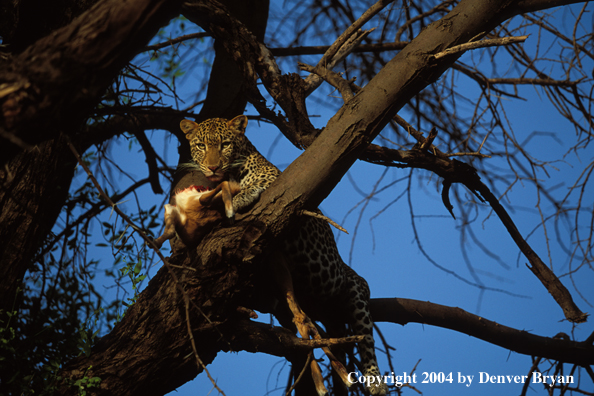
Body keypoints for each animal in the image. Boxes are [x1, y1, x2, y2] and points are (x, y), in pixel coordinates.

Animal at [180, 115, 388, 396]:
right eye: (201, 145)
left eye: (225, 144)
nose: (213, 168)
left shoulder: (283, 184)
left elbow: (257, 186)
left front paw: (238, 197)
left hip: (356, 287)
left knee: (366, 336)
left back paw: (375, 380)